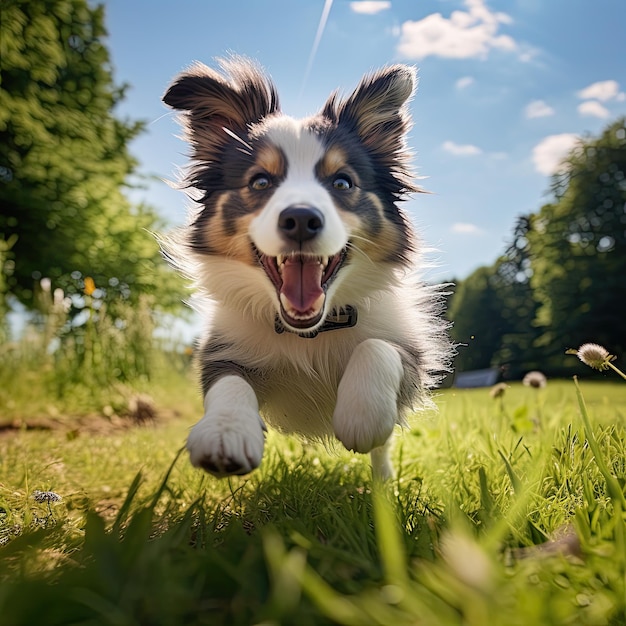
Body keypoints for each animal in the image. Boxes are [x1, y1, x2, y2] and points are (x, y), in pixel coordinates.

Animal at [161, 58, 450, 478]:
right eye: (260, 181)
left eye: (342, 182)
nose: (300, 219)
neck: (309, 334)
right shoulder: (222, 350)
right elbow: (227, 381)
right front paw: (225, 432)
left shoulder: (412, 354)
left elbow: (379, 347)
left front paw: (362, 416)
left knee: (383, 449)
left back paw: (384, 481)